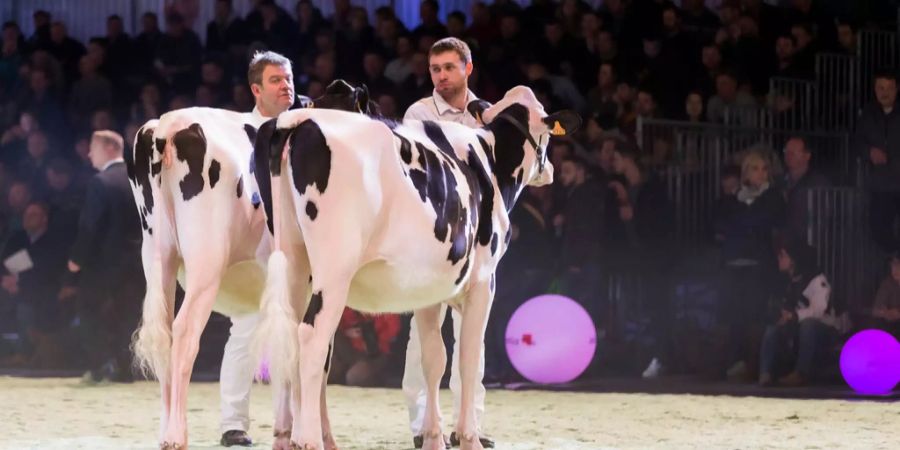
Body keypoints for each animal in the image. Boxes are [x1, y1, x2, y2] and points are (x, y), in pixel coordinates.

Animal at [125, 79, 378, 448]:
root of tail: (166, 126)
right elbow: (317, 359)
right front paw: (318, 435)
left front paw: (286, 433)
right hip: (206, 261)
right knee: (185, 333)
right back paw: (176, 434)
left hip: (158, 256)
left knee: (165, 335)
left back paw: (165, 430)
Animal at [251, 85, 584, 450]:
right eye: (548, 135)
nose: (550, 169)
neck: (490, 162)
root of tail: (297, 119)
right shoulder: (484, 281)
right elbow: (467, 359)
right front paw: (468, 437)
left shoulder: (429, 290)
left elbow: (434, 360)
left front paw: (434, 437)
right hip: (333, 269)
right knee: (311, 338)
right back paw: (309, 440)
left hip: (294, 264)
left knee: (290, 339)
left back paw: (287, 437)